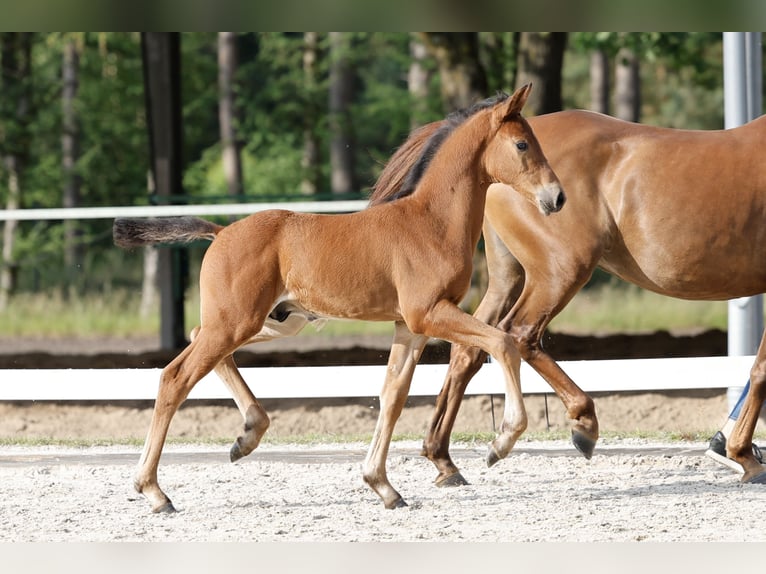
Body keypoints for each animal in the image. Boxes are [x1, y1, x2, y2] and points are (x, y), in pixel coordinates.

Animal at [112, 84, 566, 512]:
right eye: (522, 144)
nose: (556, 197)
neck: (430, 222)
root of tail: (221, 232)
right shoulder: (429, 314)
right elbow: (502, 342)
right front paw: (502, 442)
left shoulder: (410, 327)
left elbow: (393, 396)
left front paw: (383, 486)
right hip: (237, 322)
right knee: (175, 377)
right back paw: (154, 491)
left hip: (272, 321)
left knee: (195, 338)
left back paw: (247, 436)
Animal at [370, 106, 766, 488]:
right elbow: (761, 369)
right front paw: (742, 454)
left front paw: (731, 448)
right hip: (561, 271)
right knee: (519, 334)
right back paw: (580, 422)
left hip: (508, 276)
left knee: (472, 347)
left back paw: (443, 459)